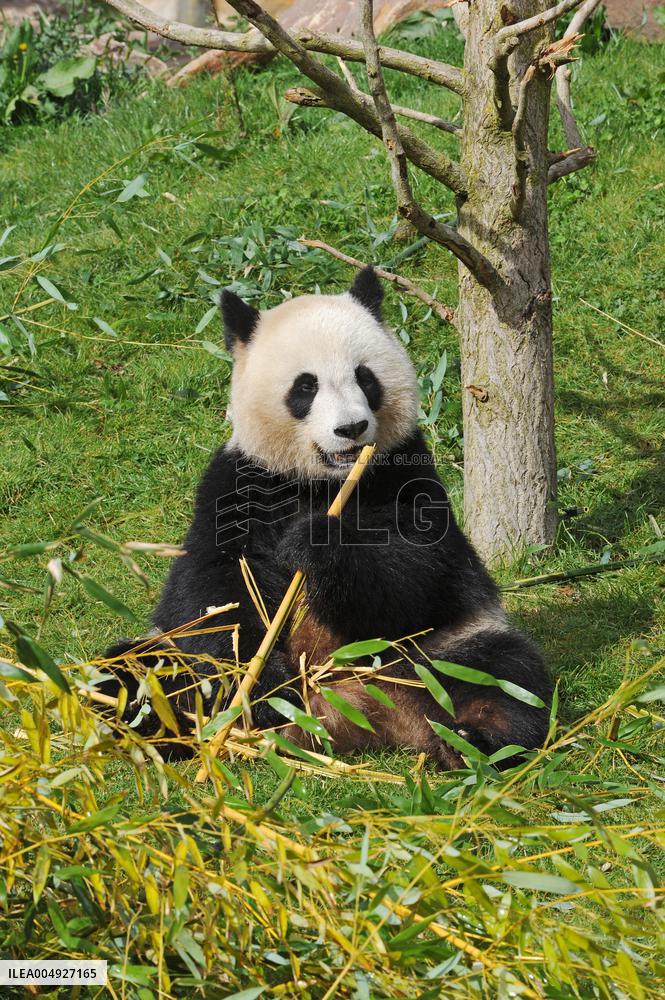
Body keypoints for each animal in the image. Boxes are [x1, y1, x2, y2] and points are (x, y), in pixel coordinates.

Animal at [104, 267, 551, 768]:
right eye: (306, 386)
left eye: (365, 377)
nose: (351, 429)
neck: (324, 481)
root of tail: (353, 713)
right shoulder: (239, 482)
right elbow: (214, 590)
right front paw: (262, 686)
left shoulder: (403, 471)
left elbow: (419, 569)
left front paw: (317, 541)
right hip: (173, 663)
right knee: (137, 672)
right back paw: (152, 724)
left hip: (434, 652)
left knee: (502, 675)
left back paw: (472, 741)